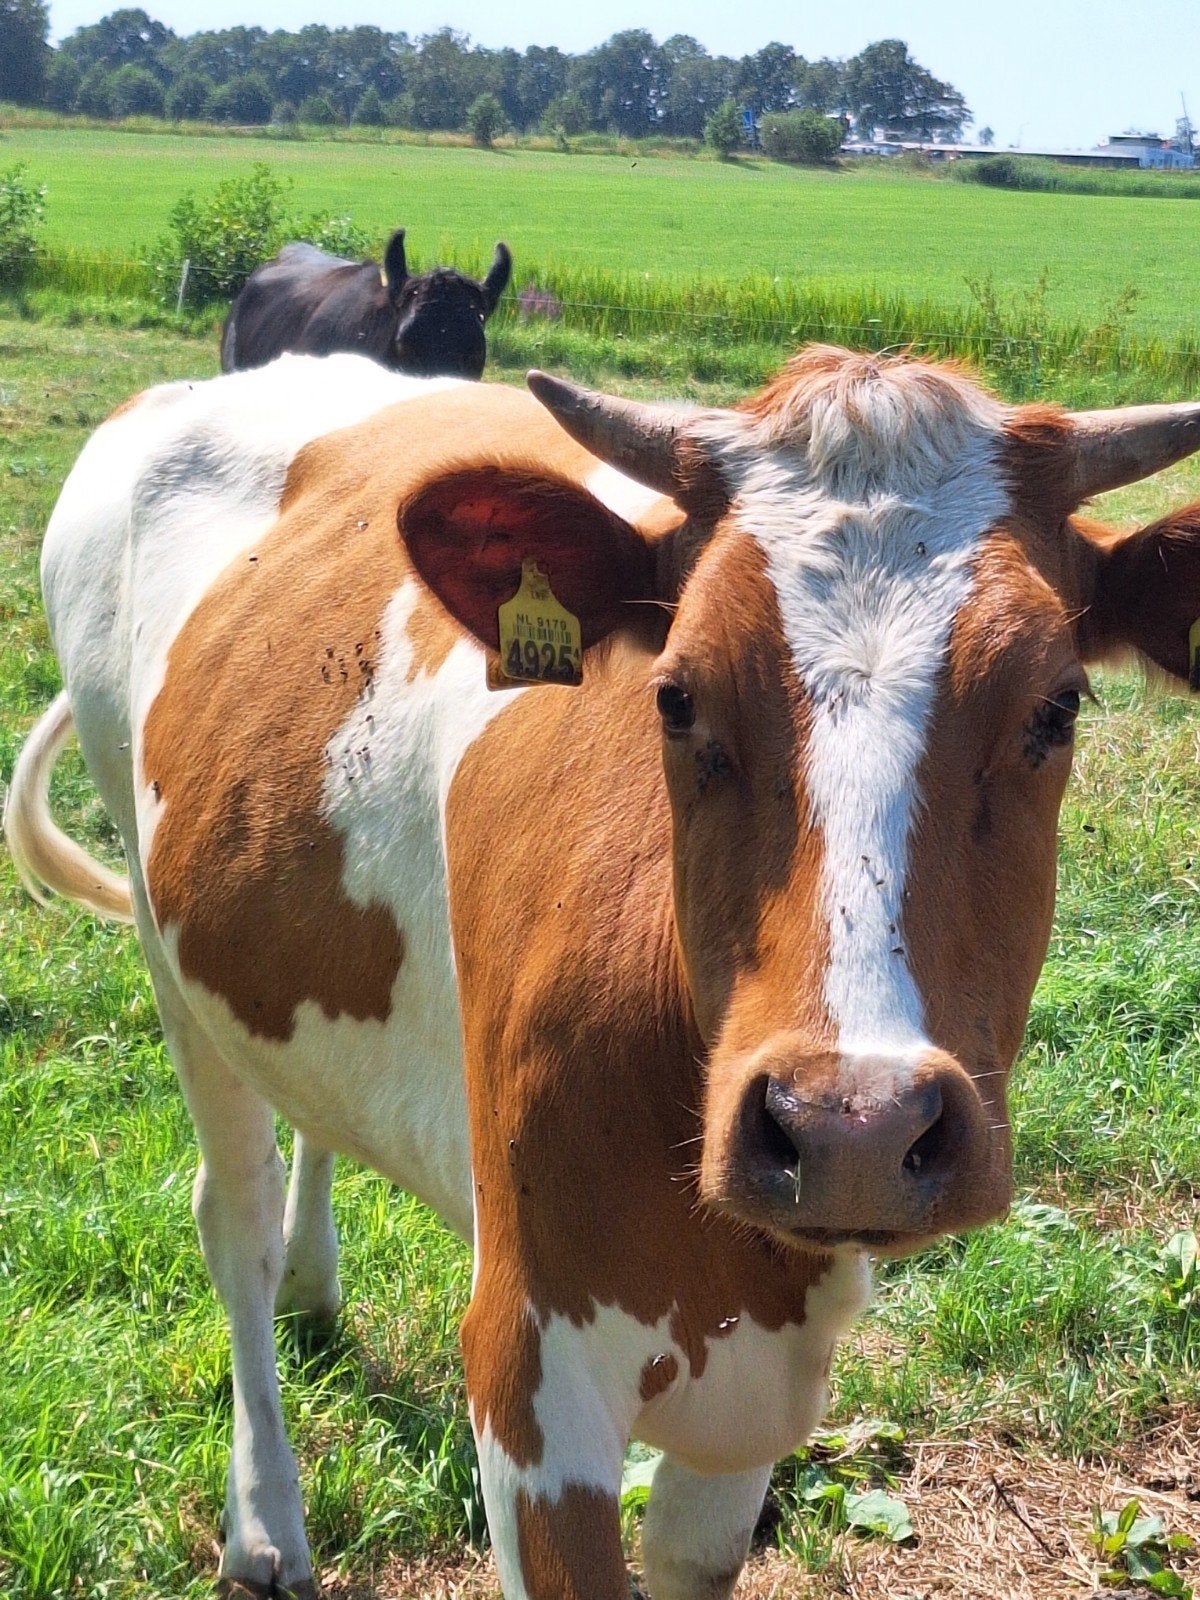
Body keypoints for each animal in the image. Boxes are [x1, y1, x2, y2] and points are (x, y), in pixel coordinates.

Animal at [8, 346, 1200, 1600]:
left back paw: (313, 1288)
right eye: (675, 694)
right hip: (161, 933)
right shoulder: (533, 1374)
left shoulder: (753, 1406)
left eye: (1057, 706)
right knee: (232, 1211)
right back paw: (267, 1519)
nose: (854, 1129)